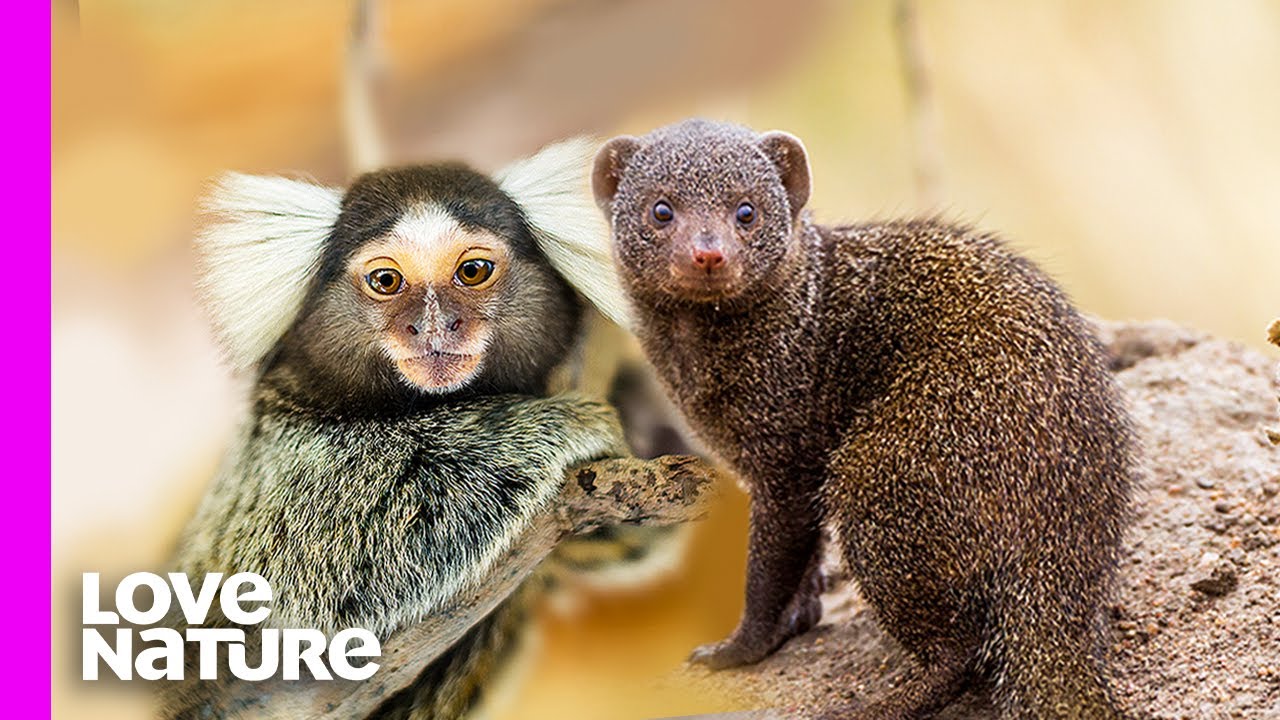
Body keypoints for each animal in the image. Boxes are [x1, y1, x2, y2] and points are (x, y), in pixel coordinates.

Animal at [160, 137, 713, 720]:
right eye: (386, 280)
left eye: (473, 271)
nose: (434, 326)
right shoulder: (270, 454)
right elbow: (308, 559)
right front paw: (561, 422)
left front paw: (648, 418)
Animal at [591, 119, 1138, 719]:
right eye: (661, 210)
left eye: (746, 211)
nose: (707, 255)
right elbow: (804, 557)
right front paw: (801, 615)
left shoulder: (789, 447)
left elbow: (772, 562)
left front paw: (737, 649)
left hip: (880, 475)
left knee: (960, 652)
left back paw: (885, 703)